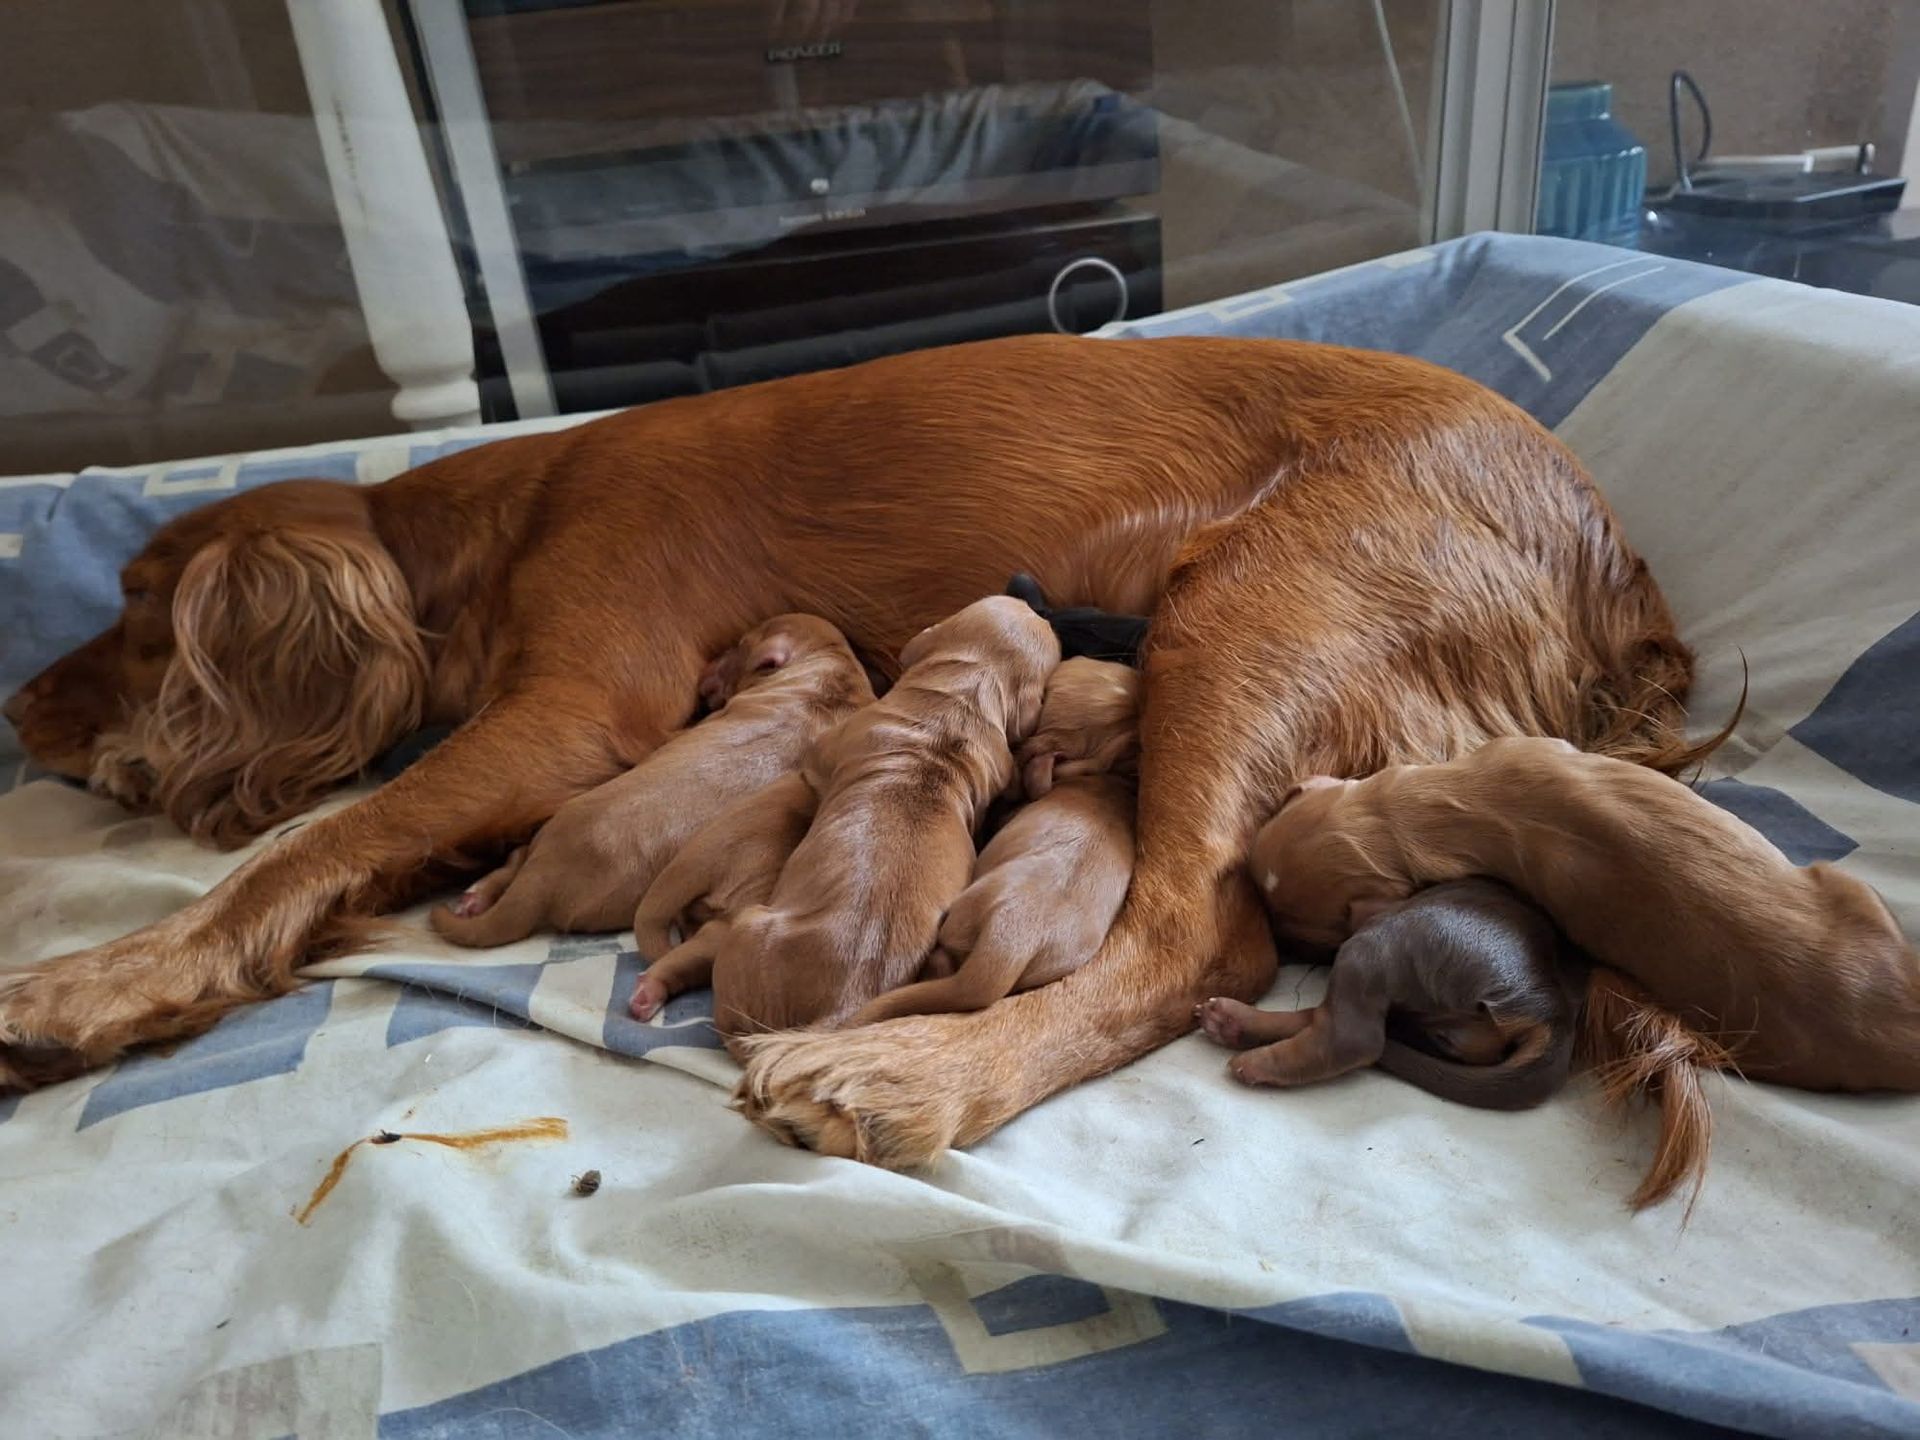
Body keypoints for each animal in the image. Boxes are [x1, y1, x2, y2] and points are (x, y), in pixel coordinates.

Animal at [429, 614, 869, 946]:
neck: (828, 678)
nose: (705, 668)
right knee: (517, 857)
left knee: (519, 858)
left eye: (739, 645)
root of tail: (542, 878)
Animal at [707, 596, 1060, 1036]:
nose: (1040, 605)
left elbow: (815, 766)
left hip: (749, 925)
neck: (967, 692)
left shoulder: (834, 744)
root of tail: (839, 1011)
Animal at [1196, 879, 1585, 1112]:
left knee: (1354, 1038)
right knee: (1329, 1020)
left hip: (1382, 943)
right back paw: (1231, 1022)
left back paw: (1253, 1059)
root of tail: (1551, 1012)